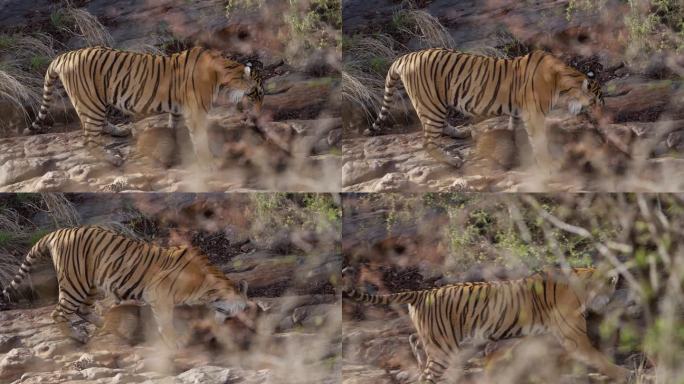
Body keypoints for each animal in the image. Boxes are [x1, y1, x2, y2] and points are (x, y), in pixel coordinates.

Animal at [0, 225, 256, 348]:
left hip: (92, 284)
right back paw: (78, 337)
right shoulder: (160, 296)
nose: (244, 320)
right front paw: (175, 342)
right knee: (59, 313)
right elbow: (166, 322)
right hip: (75, 283)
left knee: (84, 310)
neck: (209, 289)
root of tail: (56, 232)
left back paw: (105, 324)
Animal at [26, 45, 264, 166]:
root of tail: (64, 55)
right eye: (255, 94)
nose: (259, 114)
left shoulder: (179, 108)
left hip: (97, 102)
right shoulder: (196, 112)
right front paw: (208, 160)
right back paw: (112, 159)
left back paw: (119, 131)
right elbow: (200, 138)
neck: (224, 77)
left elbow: (175, 128)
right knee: (89, 139)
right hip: (91, 102)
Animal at [342, 268, 632, 382]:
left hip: (435, 339)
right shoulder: (575, 338)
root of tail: (421, 293)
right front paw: (624, 373)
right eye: (611, 287)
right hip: (443, 348)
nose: (614, 297)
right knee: (427, 374)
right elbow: (597, 357)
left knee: (414, 341)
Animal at [368, 48, 604, 168]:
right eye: (595, 102)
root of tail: (404, 57)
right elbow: (539, 140)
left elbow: (515, 129)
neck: (563, 84)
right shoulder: (534, 113)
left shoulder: (520, 109)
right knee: (428, 142)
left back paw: (460, 132)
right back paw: (452, 161)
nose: (602, 117)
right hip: (431, 103)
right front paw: (547, 162)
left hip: (436, 103)